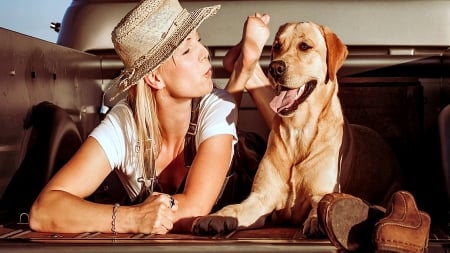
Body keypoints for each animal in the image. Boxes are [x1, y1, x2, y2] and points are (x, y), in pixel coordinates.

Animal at [192, 21, 400, 237]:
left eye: (304, 46)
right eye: (277, 46)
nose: (275, 68)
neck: (299, 128)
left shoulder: (321, 192)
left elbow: (320, 205)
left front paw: (318, 221)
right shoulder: (261, 197)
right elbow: (234, 208)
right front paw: (216, 216)